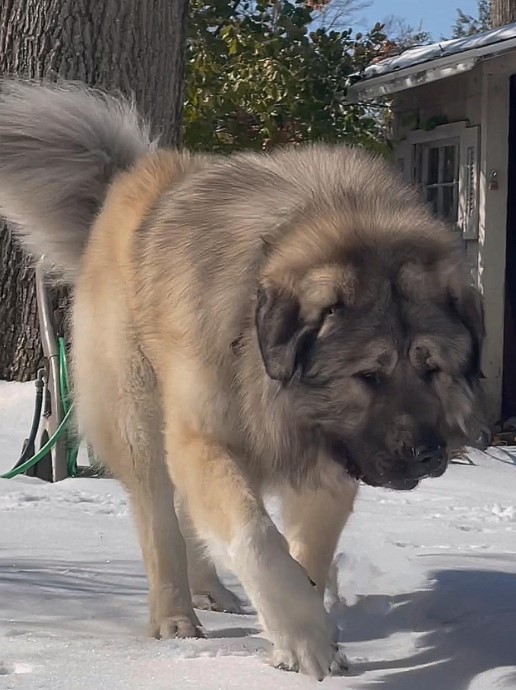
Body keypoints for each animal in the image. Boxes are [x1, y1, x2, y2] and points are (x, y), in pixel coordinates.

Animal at [0, 80, 488, 676]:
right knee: (161, 521)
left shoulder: (328, 459)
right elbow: (255, 536)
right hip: (138, 416)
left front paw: (303, 627)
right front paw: (305, 639)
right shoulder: (205, 438)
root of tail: (132, 176)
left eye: (432, 369)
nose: (428, 455)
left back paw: (212, 592)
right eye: (368, 374)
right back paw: (176, 619)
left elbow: (306, 551)